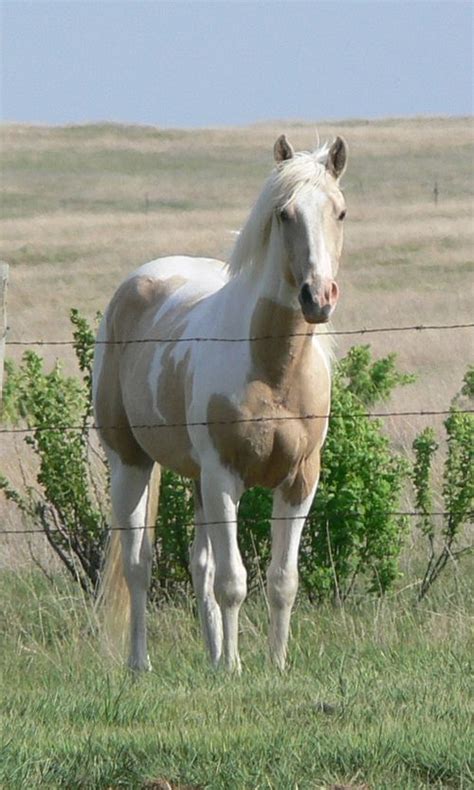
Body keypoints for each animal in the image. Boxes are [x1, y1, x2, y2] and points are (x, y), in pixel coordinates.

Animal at [93, 133, 348, 672]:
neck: (274, 370)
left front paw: (275, 665)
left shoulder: (300, 481)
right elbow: (234, 582)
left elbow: (281, 580)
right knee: (138, 564)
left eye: (339, 212)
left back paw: (211, 657)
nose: (318, 297)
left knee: (200, 566)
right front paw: (234, 667)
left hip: (196, 482)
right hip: (131, 463)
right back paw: (141, 663)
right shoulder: (224, 476)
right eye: (284, 213)